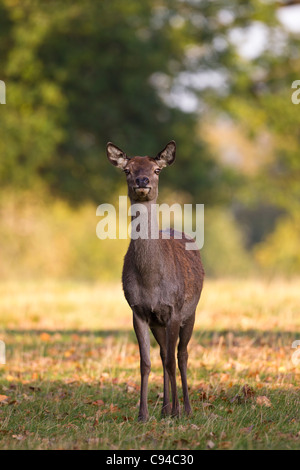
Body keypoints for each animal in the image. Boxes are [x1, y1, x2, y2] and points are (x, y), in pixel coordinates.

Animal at [105, 140, 204, 422]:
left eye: (157, 169)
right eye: (127, 169)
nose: (142, 180)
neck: (150, 280)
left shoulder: (174, 309)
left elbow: (172, 360)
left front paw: (179, 411)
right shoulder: (138, 311)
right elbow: (145, 362)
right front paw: (143, 414)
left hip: (191, 312)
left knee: (181, 355)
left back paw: (186, 408)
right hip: (158, 323)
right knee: (163, 354)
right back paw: (165, 408)